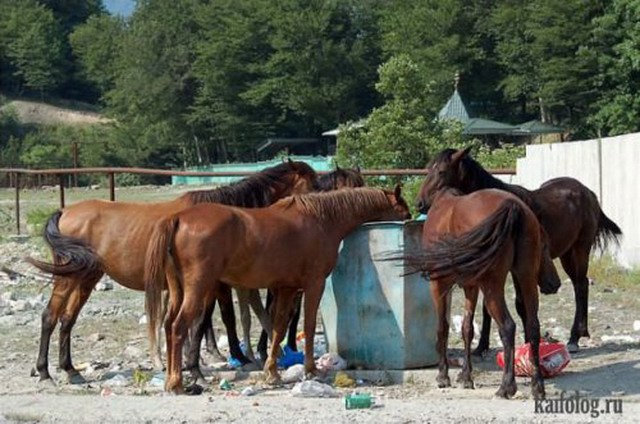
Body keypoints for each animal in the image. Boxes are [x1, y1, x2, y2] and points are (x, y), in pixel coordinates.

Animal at [25, 160, 318, 384]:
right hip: (69, 278)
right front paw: (197, 367)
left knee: (67, 319)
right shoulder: (210, 285)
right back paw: (44, 372)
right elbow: (205, 322)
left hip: (86, 278)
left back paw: (70, 370)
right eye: (313, 183)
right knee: (50, 317)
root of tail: (65, 211)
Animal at [144, 187, 410, 392]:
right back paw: (177, 383)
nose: (411, 217)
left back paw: (171, 380)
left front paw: (272, 372)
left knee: (168, 326)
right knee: (178, 327)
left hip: (178, 291)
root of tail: (178, 218)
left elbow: (278, 327)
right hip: (198, 289)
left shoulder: (286, 289)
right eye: (403, 210)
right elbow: (309, 327)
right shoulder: (314, 284)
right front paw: (311, 370)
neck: (321, 220)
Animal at [418, 147, 624, 352]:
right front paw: (482, 346)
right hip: (566, 254)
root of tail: (588, 192)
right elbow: (488, 307)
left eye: (441, 171)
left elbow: (520, 304)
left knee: (580, 285)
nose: (419, 203)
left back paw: (574, 337)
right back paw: (582, 332)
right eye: (428, 169)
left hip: (581, 249)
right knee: (580, 284)